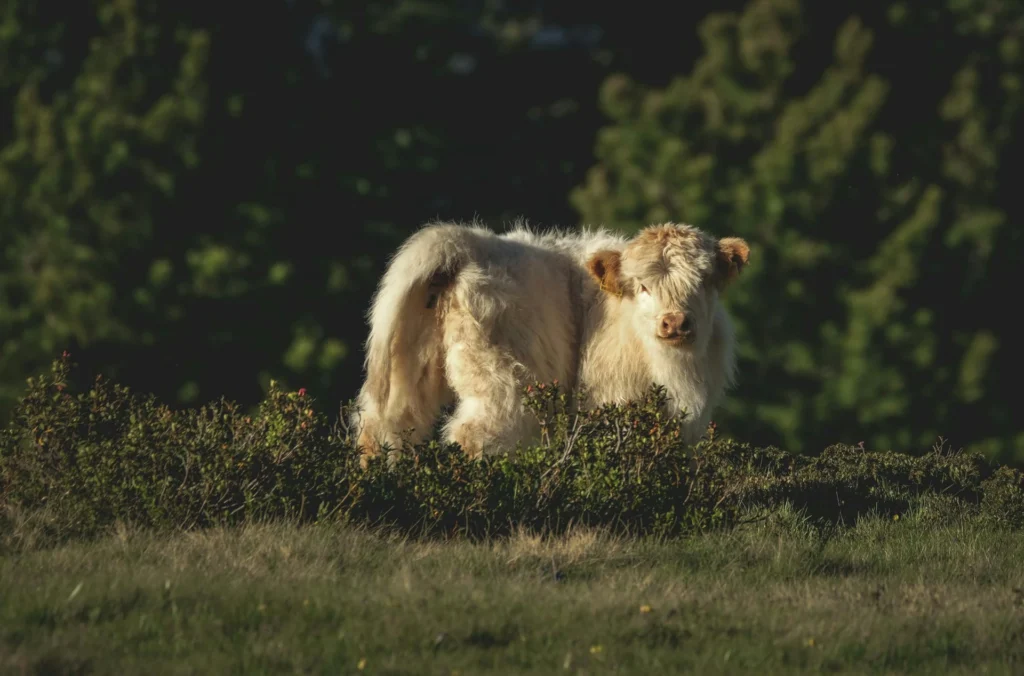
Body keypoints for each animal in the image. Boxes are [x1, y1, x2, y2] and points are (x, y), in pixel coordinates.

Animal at [350, 220, 750, 467]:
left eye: (704, 282)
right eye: (643, 286)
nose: (675, 322)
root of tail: (466, 241)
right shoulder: (609, 401)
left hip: (407, 369)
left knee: (384, 428)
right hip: (506, 382)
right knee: (474, 435)